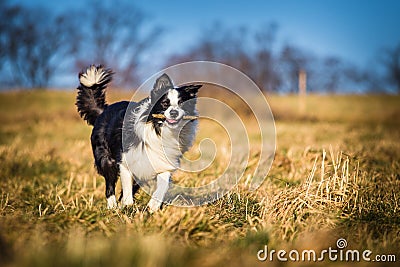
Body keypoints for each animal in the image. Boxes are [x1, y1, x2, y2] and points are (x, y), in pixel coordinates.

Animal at [76, 65, 202, 211]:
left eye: (181, 103)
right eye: (165, 103)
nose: (174, 112)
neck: (159, 129)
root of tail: (103, 111)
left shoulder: (162, 162)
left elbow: (162, 185)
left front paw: (153, 206)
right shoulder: (125, 160)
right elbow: (126, 186)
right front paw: (127, 206)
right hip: (106, 159)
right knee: (109, 185)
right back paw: (112, 206)